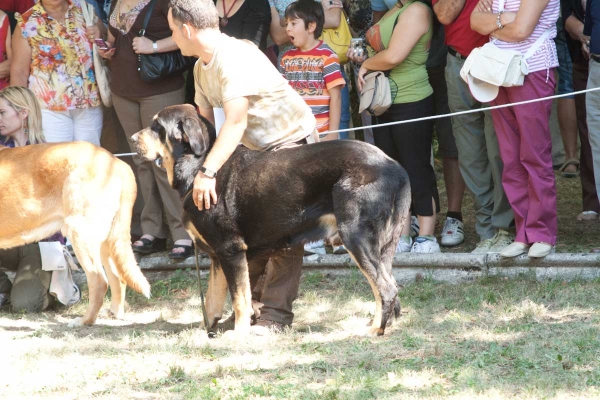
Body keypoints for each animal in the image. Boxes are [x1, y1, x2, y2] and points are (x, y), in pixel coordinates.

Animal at [0, 141, 150, 324]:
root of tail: (117, 162)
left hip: (80, 232)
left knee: (99, 281)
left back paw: (84, 321)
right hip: (106, 240)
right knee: (118, 277)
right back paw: (114, 313)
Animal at [133, 104, 410, 336]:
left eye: (157, 127)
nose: (133, 139)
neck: (198, 166)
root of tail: (395, 166)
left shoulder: (230, 250)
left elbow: (240, 300)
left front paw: (239, 335)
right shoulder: (217, 256)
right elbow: (212, 300)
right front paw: (205, 332)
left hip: (355, 235)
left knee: (386, 288)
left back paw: (375, 330)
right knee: (387, 285)